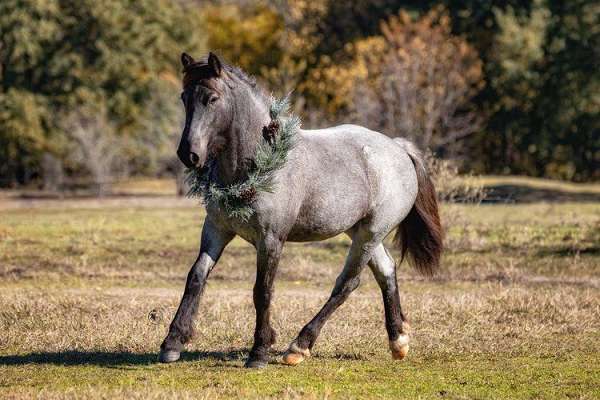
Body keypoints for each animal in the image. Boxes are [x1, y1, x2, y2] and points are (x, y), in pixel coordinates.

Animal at [157, 52, 442, 368]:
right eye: (184, 97)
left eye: (212, 99)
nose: (188, 154)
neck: (256, 163)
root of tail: (398, 147)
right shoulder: (217, 230)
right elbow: (196, 277)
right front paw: (173, 342)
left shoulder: (270, 240)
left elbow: (262, 290)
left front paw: (259, 351)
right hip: (360, 231)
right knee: (386, 271)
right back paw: (398, 340)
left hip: (371, 233)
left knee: (347, 283)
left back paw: (299, 346)